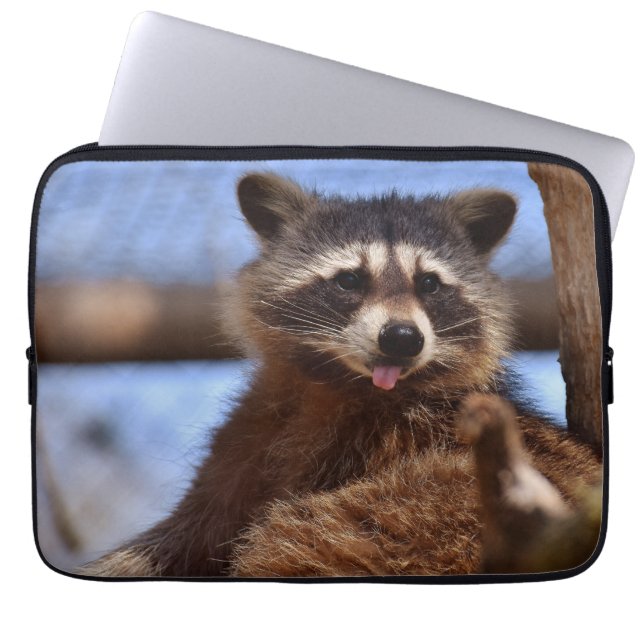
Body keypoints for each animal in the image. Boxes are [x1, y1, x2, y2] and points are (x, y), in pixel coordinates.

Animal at [84, 172, 601, 578]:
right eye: (349, 280)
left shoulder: (400, 444)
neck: (341, 384)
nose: (402, 338)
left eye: (429, 284)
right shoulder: (253, 433)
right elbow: (188, 530)